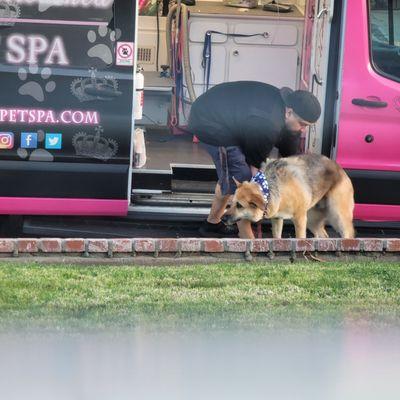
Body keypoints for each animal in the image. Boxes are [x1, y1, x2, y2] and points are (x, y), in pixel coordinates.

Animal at [223, 155, 354, 239]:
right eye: (231, 204)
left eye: (239, 205)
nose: (222, 218)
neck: (268, 189)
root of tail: (340, 169)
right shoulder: (277, 219)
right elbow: (277, 237)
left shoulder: (300, 218)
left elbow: (300, 238)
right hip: (312, 219)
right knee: (324, 236)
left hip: (338, 215)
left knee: (348, 234)